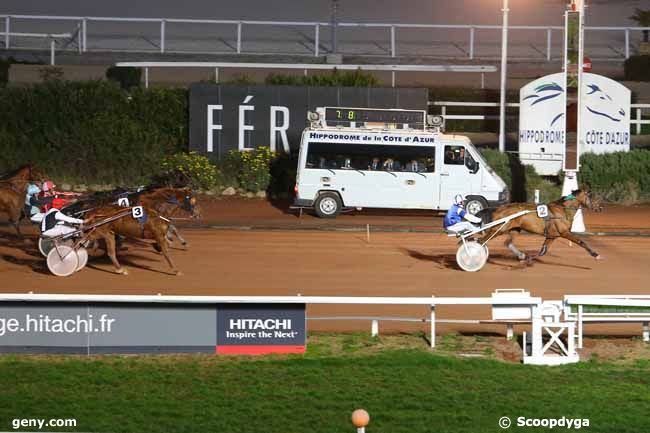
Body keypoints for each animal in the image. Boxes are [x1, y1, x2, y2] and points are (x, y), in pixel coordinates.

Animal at [476, 189, 604, 264]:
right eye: (593, 197)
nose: (601, 208)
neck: (562, 210)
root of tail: (498, 208)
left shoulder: (551, 236)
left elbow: (543, 251)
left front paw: (528, 259)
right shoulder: (564, 233)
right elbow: (581, 242)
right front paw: (596, 255)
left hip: (514, 229)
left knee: (507, 243)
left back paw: (520, 255)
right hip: (498, 229)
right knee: (481, 241)